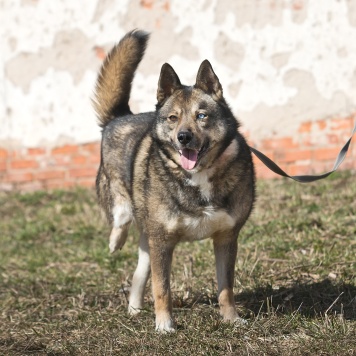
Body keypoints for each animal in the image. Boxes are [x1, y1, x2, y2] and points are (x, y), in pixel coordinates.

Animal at [94, 29, 256, 332]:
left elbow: (226, 288)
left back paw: (134, 309)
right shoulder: (162, 241)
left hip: (149, 240)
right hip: (127, 208)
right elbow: (162, 288)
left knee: (139, 273)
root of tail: (119, 117)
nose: (183, 137)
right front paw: (165, 326)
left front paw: (231, 319)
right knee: (121, 218)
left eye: (202, 116)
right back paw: (115, 241)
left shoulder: (226, 238)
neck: (198, 175)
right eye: (172, 118)